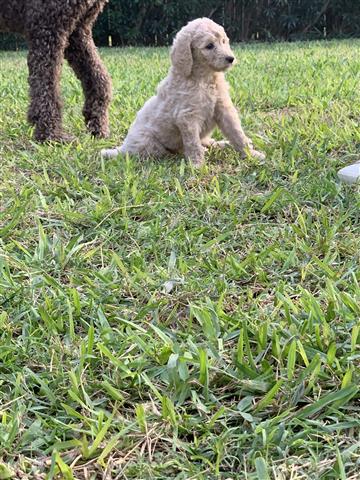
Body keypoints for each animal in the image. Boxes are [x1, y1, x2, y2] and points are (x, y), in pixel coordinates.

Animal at [0, 0, 112, 142]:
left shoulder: (78, 29)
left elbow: (99, 78)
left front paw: (97, 125)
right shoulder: (48, 28)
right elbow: (47, 86)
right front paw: (51, 135)